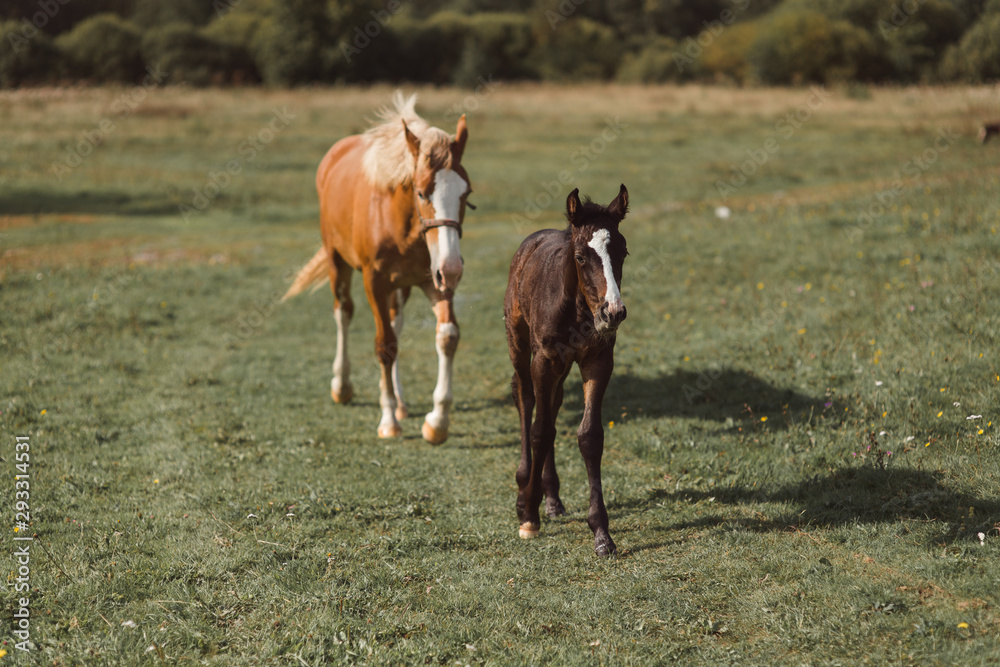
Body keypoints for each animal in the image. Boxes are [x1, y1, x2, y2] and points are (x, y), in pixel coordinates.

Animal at [283, 92, 472, 444]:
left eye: (466, 193)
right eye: (421, 192)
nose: (453, 268)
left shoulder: (433, 280)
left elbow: (447, 335)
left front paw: (437, 422)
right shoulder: (375, 281)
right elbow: (385, 345)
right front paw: (388, 421)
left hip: (404, 286)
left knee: (396, 322)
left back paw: (401, 402)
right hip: (337, 261)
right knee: (343, 312)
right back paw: (343, 387)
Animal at [504, 184, 630, 556]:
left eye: (623, 252)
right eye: (580, 257)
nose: (613, 312)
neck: (576, 309)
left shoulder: (598, 360)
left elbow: (589, 436)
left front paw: (601, 532)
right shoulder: (543, 360)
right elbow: (539, 431)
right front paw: (528, 517)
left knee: (554, 404)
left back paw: (553, 498)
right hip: (519, 345)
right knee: (525, 399)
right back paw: (524, 492)